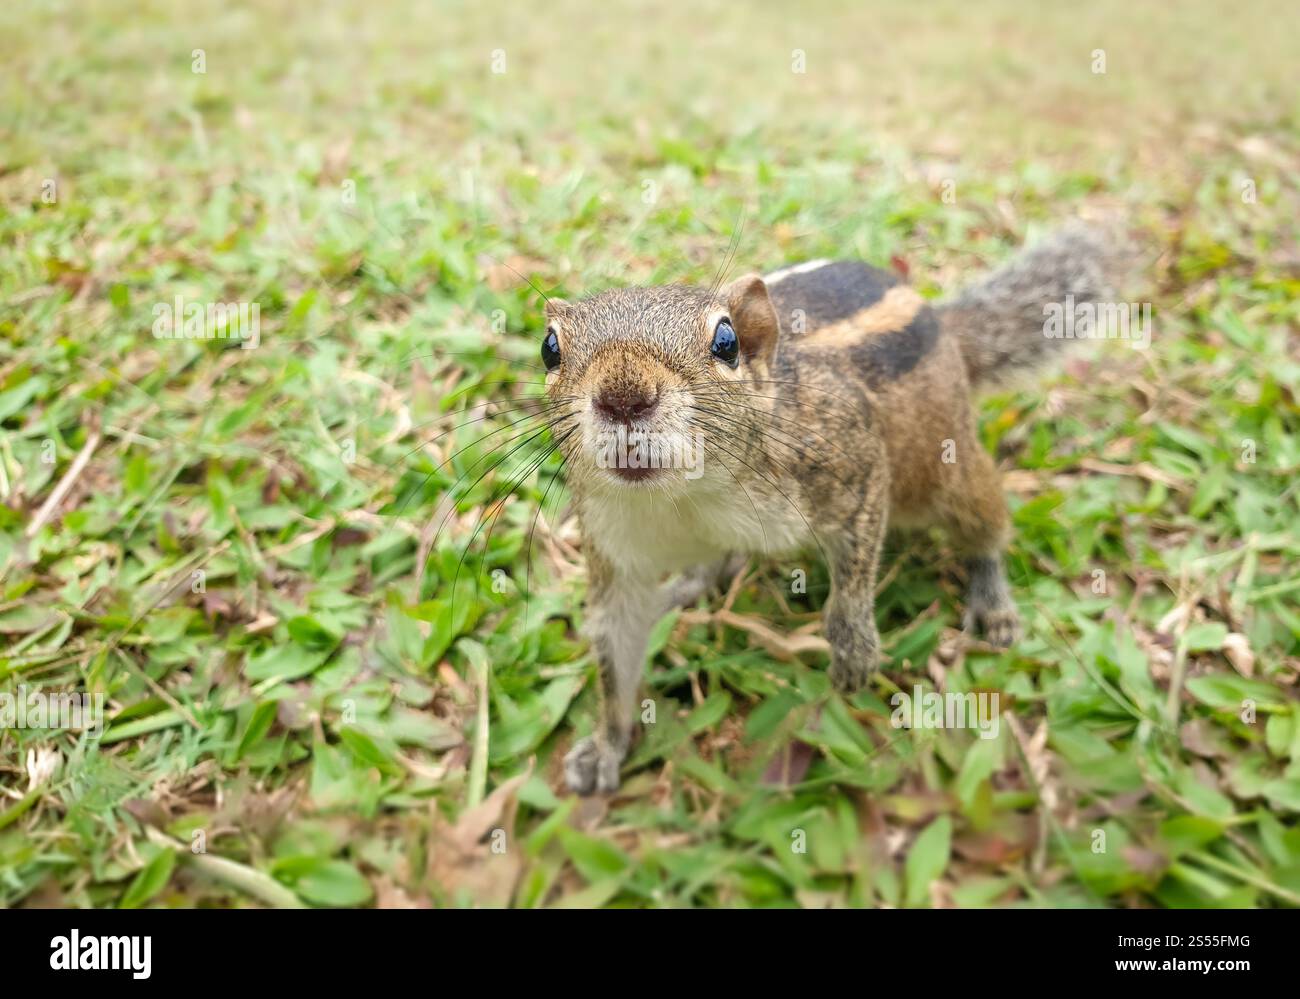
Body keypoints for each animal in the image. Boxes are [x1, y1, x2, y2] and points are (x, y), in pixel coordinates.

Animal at [538, 225, 1122, 795]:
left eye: (726, 342)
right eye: (549, 348)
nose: (623, 397)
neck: (689, 494)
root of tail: (944, 324)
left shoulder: (852, 461)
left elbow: (854, 575)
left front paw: (853, 650)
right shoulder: (616, 549)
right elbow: (617, 650)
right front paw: (606, 746)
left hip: (951, 475)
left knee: (984, 528)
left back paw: (991, 598)